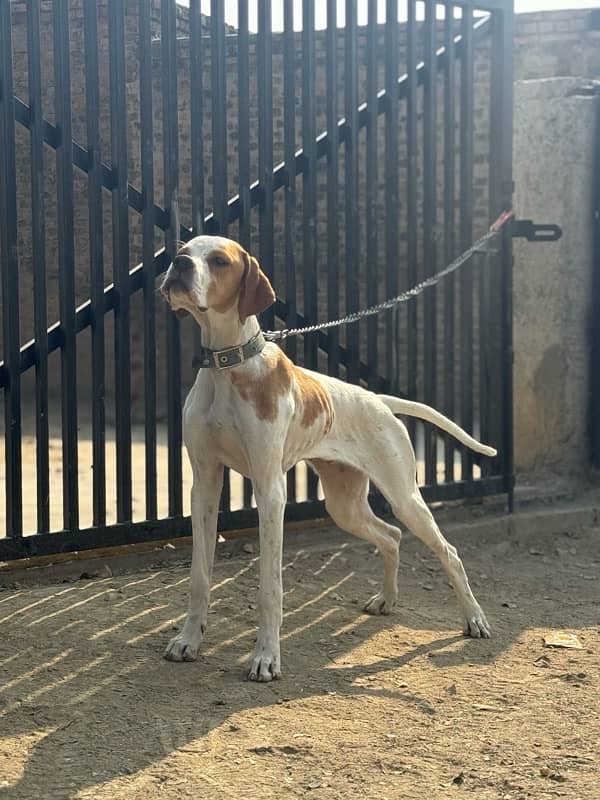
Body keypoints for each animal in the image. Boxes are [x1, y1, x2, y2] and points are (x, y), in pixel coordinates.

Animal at [161, 236, 492, 680]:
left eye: (218, 260)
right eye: (184, 250)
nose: (177, 265)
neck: (228, 366)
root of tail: (378, 399)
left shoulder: (270, 491)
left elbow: (270, 587)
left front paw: (266, 657)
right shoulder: (205, 485)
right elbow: (199, 577)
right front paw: (188, 640)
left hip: (405, 498)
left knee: (448, 552)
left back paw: (474, 619)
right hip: (344, 506)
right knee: (391, 536)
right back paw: (387, 599)